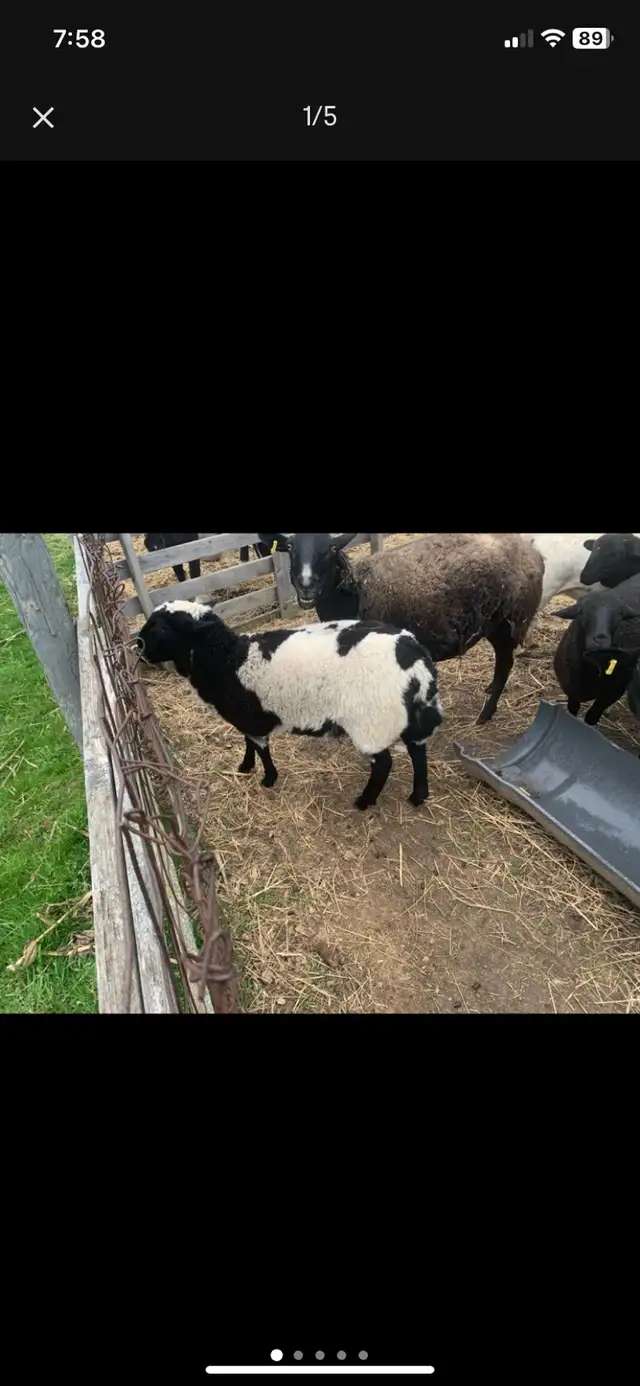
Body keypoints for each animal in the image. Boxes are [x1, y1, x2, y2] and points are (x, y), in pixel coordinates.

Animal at [136, 600, 444, 810]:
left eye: (161, 626)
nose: (137, 645)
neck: (228, 660)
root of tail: (417, 658)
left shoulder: (252, 718)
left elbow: (262, 749)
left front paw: (268, 779)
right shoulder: (246, 716)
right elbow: (247, 742)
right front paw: (245, 766)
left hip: (372, 723)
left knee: (383, 765)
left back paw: (364, 801)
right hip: (407, 716)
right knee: (418, 750)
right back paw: (418, 796)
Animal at [258, 532, 544, 725]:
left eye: (330, 548)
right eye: (290, 547)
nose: (306, 585)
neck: (357, 592)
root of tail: (533, 553)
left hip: (506, 622)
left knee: (505, 663)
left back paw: (486, 713)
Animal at [552, 575, 640, 724]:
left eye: (620, 615)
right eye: (581, 613)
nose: (600, 640)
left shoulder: (612, 693)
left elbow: (591, 718)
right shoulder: (572, 690)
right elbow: (572, 710)